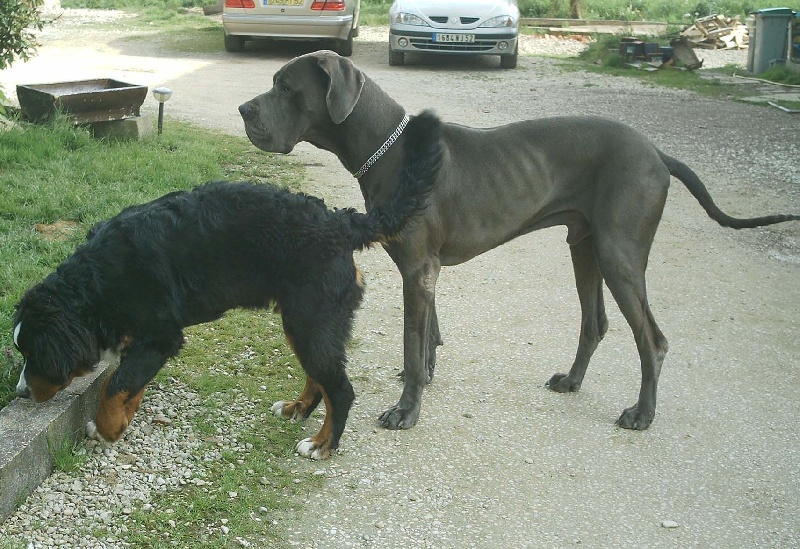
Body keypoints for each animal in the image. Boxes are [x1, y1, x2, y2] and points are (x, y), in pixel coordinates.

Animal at [12, 112, 442, 460]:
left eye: (34, 353)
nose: (19, 393)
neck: (97, 282)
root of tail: (341, 221)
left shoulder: (160, 336)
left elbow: (114, 387)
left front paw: (105, 430)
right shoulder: (146, 343)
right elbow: (130, 385)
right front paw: (120, 423)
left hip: (311, 320)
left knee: (340, 389)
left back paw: (322, 444)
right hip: (303, 322)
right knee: (319, 378)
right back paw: (297, 409)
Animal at [238, 50, 799, 433]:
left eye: (284, 87)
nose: (244, 109)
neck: (390, 150)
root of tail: (657, 152)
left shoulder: (418, 269)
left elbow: (412, 340)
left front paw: (406, 411)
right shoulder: (424, 270)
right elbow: (427, 338)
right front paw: (421, 379)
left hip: (619, 254)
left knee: (652, 340)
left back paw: (642, 413)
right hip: (585, 247)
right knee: (595, 323)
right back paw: (571, 381)